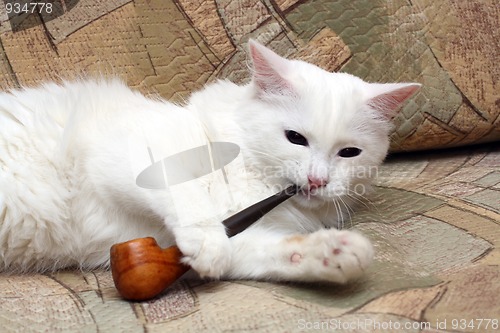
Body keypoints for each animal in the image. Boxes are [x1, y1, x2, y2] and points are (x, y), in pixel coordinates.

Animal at [1, 40, 420, 282]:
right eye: (296, 139)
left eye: (349, 153)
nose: (318, 181)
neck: (250, 175)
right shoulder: (128, 151)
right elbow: (186, 194)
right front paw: (206, 239)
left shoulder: (220, 235)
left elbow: (272, 250)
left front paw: (335, 251)